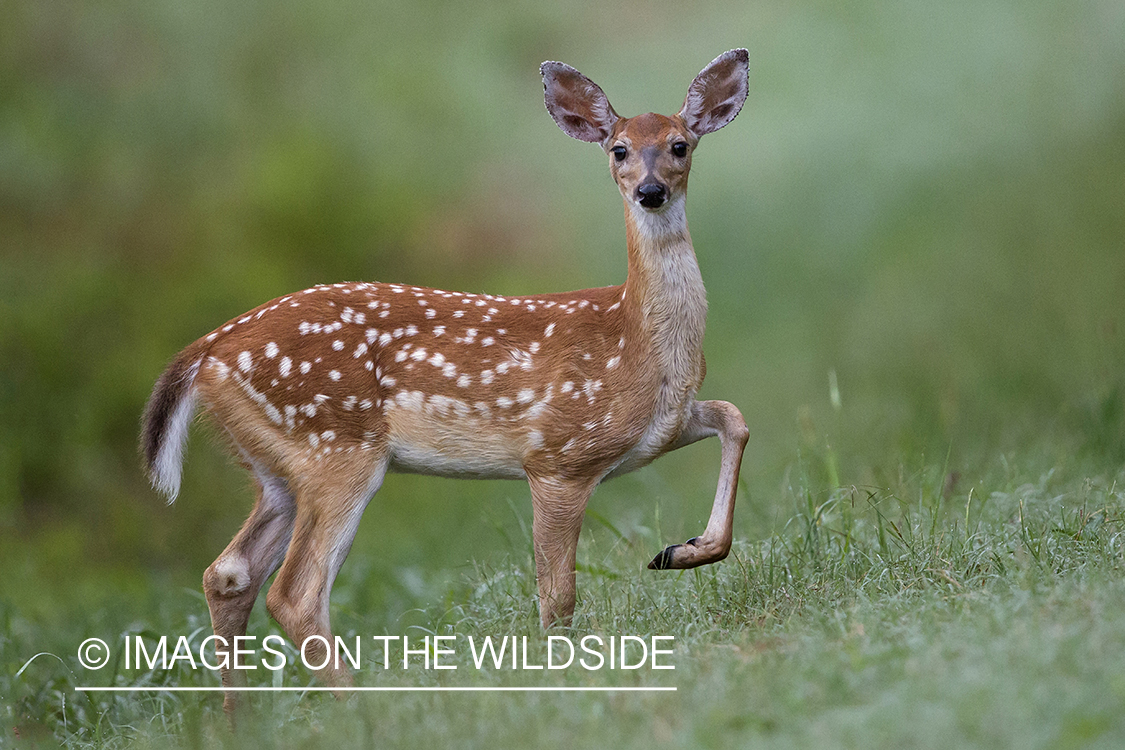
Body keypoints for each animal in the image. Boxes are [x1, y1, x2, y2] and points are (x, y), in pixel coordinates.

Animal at [141, 49, 750, 708]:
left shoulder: (661, 427)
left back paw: (243, 718)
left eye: (680, 145)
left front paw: (684, 551)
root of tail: (205, 351)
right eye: (618, 149)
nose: (650, 190)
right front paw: (559, 673)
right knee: (294, 592)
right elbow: (557, 596)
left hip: (277, 467)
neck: (636, 343)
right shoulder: (559, 456)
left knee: (228, 573)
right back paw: (357, 709)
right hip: (335, 447)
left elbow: (734, 419)